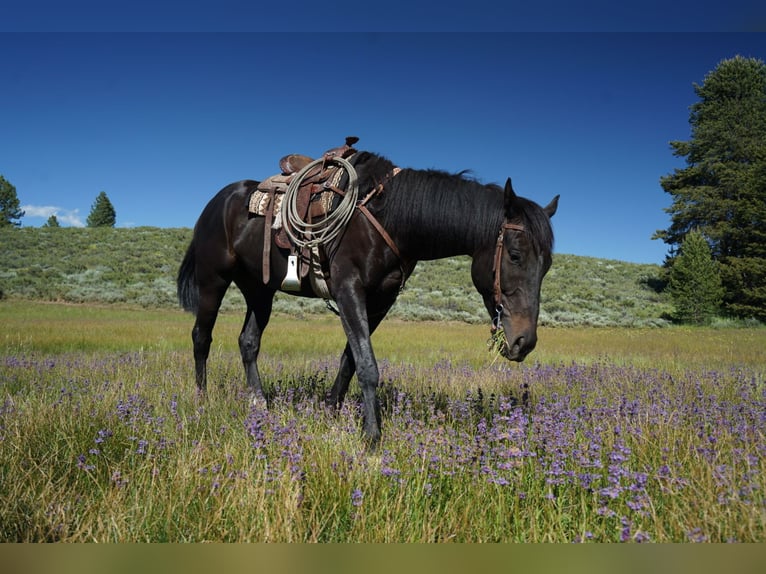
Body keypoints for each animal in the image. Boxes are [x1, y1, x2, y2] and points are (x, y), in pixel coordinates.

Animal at [177, 147, 558, 447]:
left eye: (548, 266)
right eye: (515, 255)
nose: (524, 341)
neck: (389, 217)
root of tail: (218, 201)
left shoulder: (379, 302)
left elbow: (350, 360)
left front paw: (331, 411)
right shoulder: (349, 289)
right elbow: (367, 365)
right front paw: (372, 436)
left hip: (260, 290)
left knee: (248, 342)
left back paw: (259, 403)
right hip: (212, 281)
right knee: (201, 337)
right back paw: (201, 399)